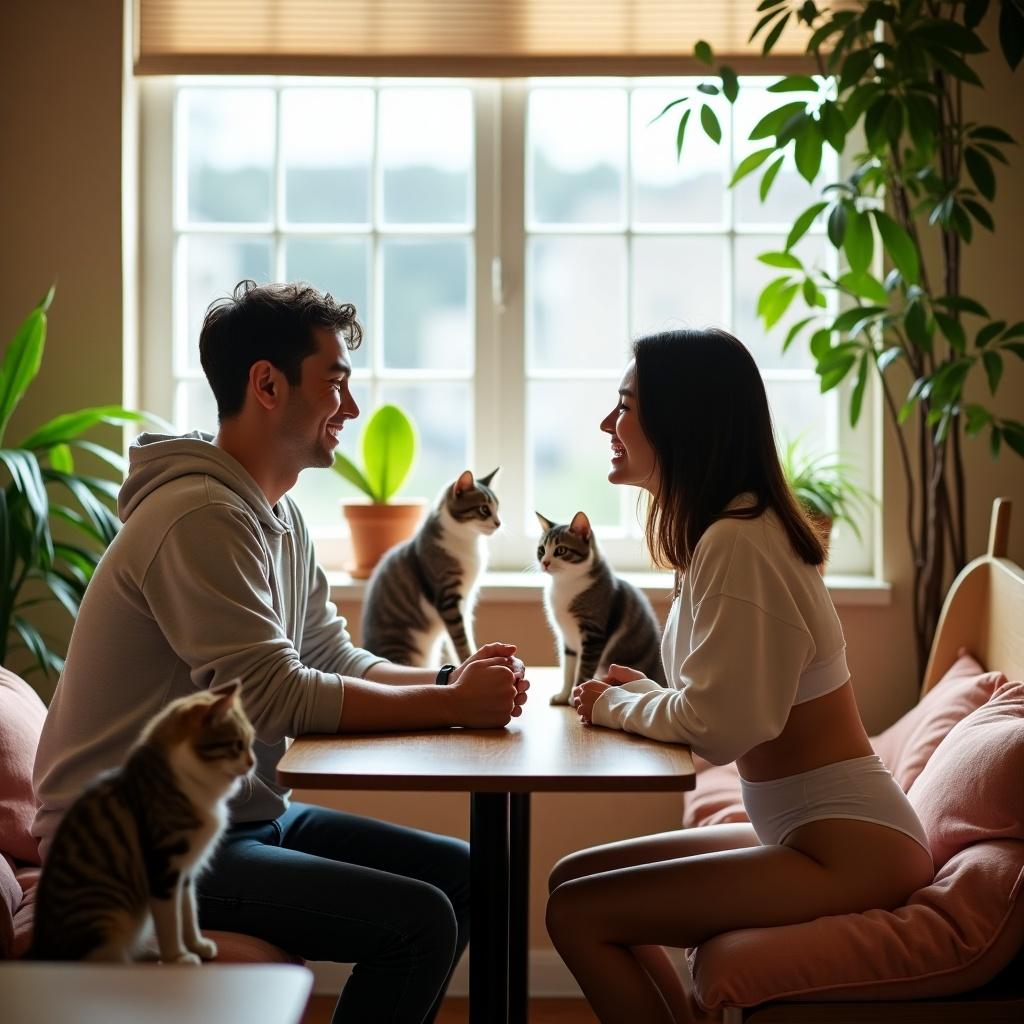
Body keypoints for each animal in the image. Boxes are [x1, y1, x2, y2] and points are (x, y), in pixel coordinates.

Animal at [28, 684, 256, 962]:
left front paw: (197, 945)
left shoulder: (186, 871)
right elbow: (170, 922)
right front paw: (177, 958)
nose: (253, 763)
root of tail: (38, 950)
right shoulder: (164, 868)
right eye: (237, 745)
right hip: (108, 920)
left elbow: (189, 912)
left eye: (250, 743)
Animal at [362, 468, 501, 667]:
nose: (498, 523)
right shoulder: (448, 599)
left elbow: (464, 634)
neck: (469, 542)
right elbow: (460, 639)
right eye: (484, 509)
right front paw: (470, 659)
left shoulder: (466, 601)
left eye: (498, 508)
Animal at [532, 512, 667, 704]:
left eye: (561, 550)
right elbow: (568, 670)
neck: (565, 583)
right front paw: (564, 695)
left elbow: (584, 668)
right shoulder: (567, 637)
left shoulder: (593, 635)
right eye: (542, 549)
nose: (545, 562)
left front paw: (575, 695)